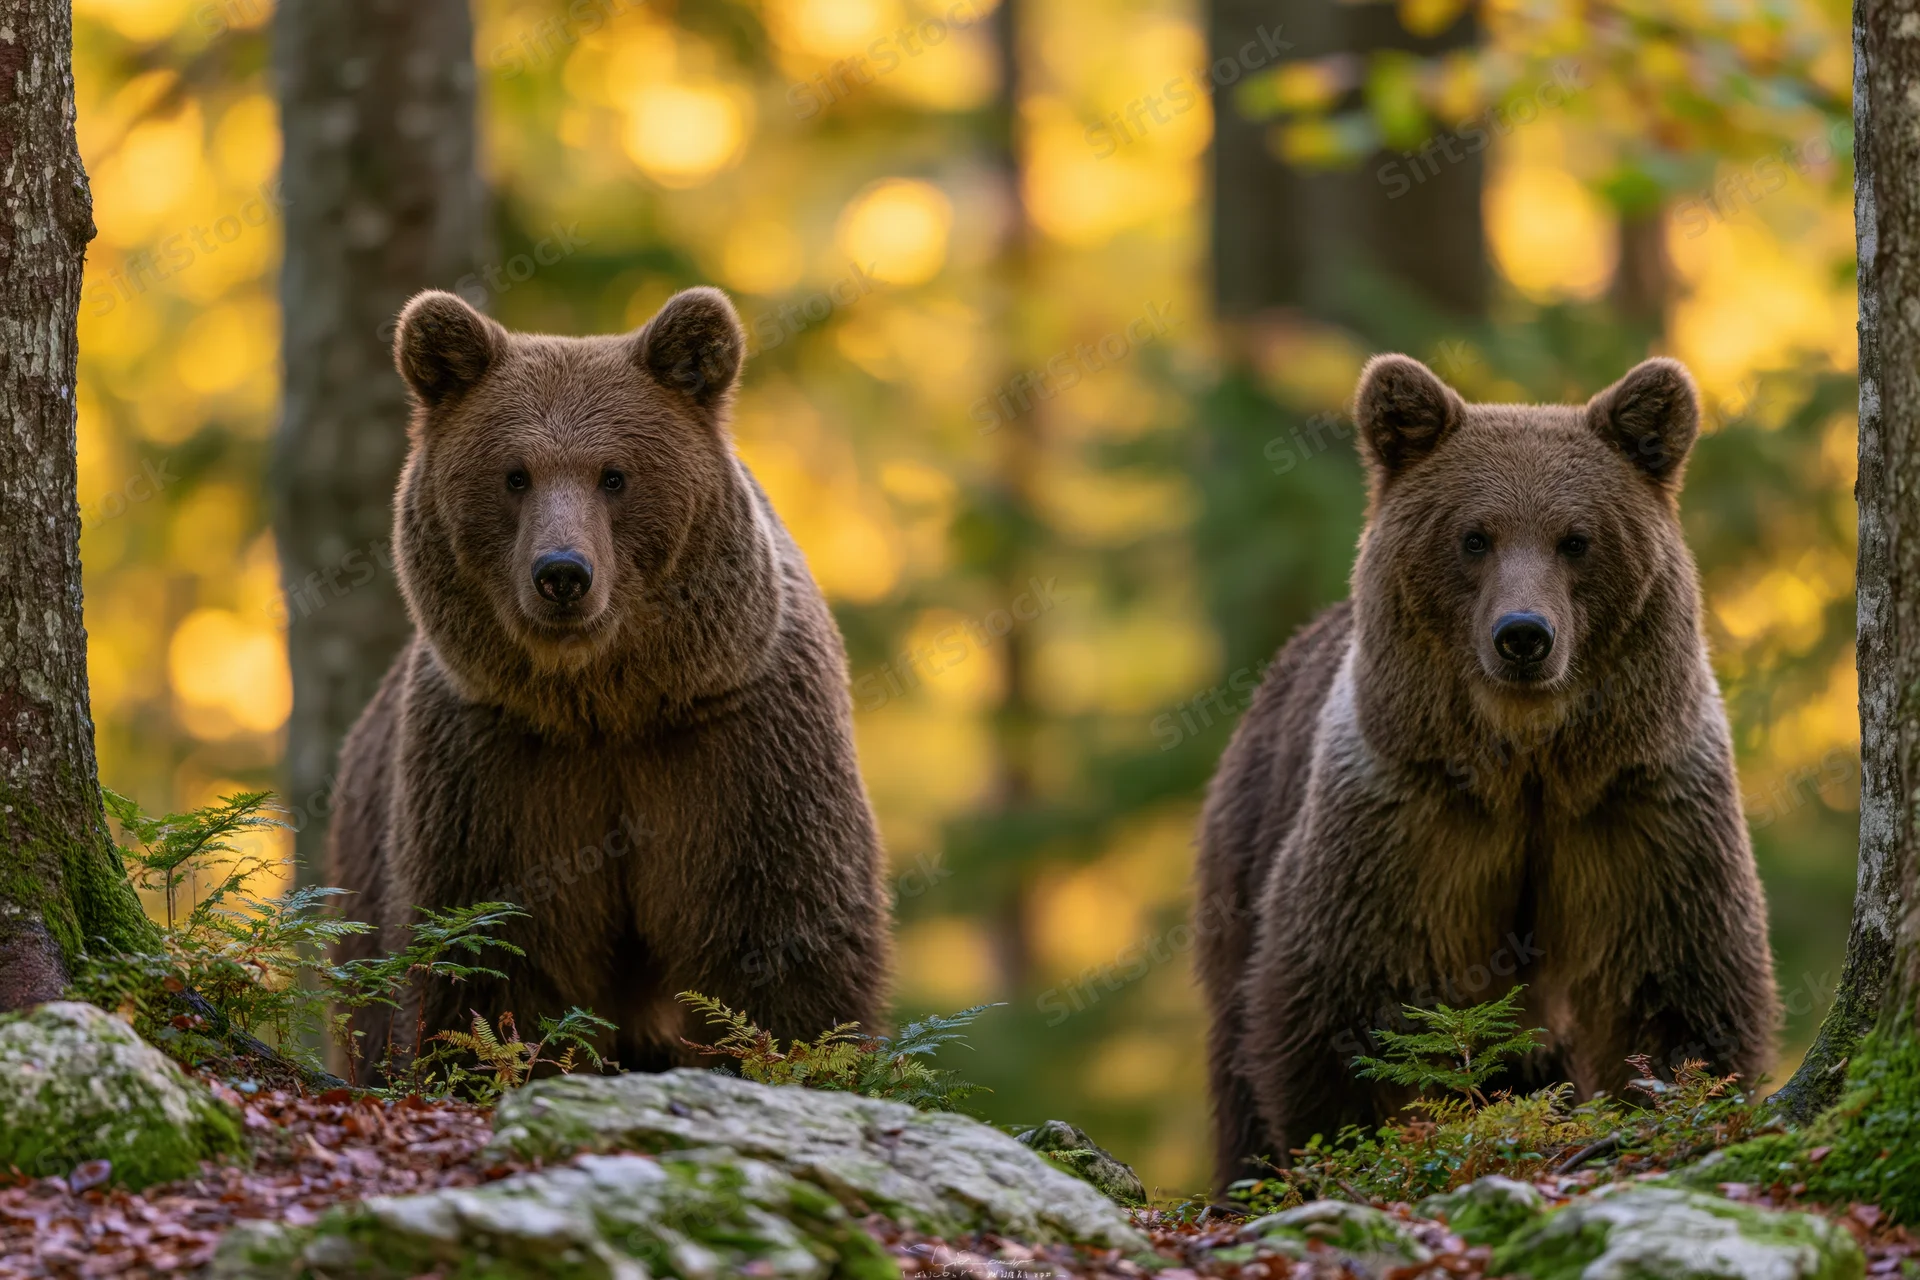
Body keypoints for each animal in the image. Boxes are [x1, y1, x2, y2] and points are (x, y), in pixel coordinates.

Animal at [326, 286, 892, 1077]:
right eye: (515, 474)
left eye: (614, 474)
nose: (562, 572)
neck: (606, 704)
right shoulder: (499, 763)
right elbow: (495, 950)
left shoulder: (738, 741)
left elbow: (779, 935)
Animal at [1194, 354, 1778, 1192]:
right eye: (1475, 536)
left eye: (1576, 539)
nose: (1523, 635)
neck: (1527, 764)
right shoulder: (1411, 814)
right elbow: (1344, 999)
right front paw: (1352, 1141)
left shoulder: (1635, 805)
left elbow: (1672, 981)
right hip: (1245, 839)